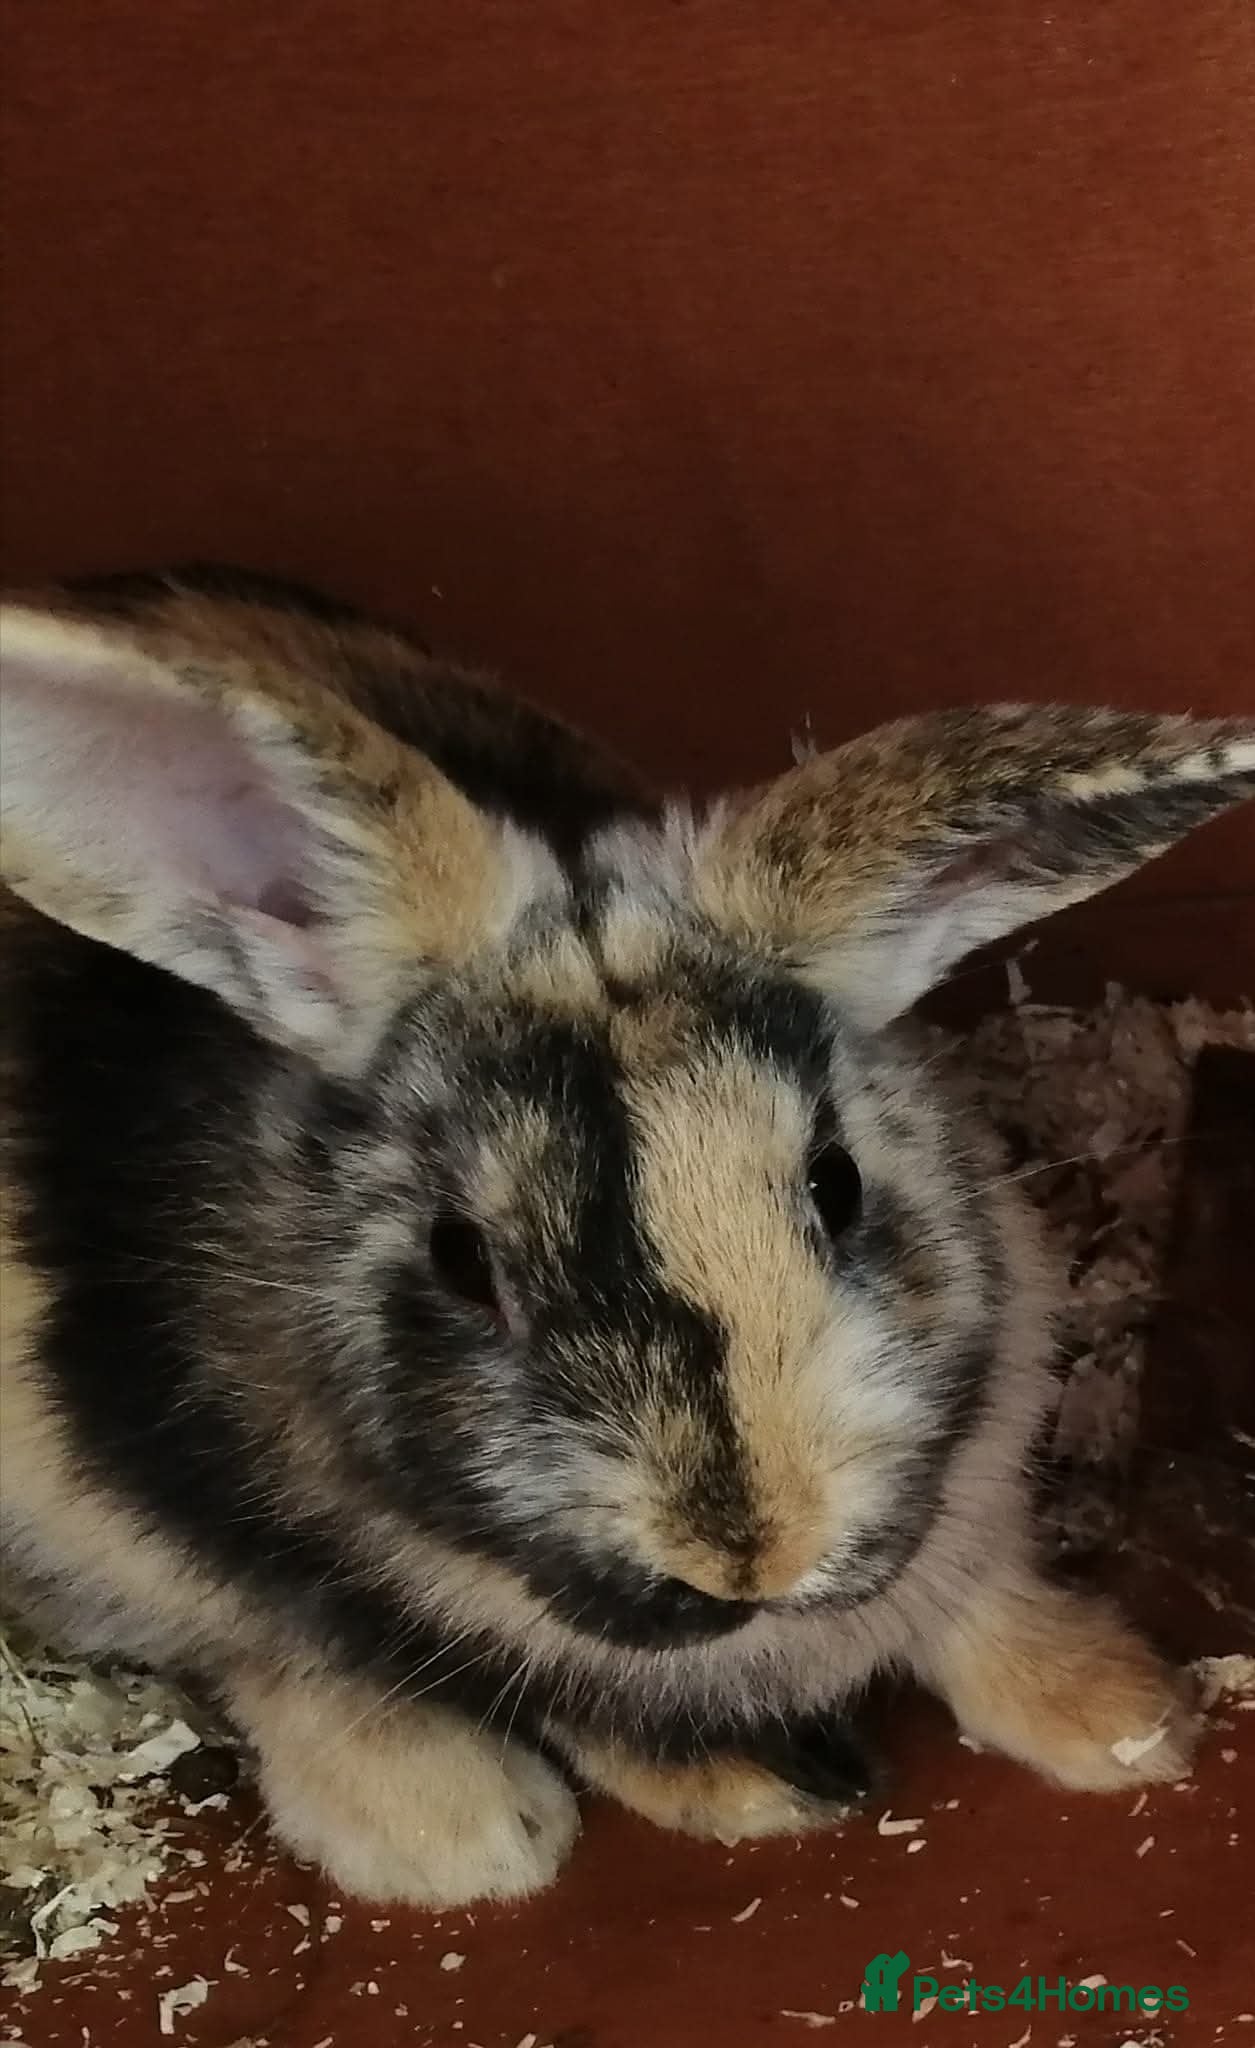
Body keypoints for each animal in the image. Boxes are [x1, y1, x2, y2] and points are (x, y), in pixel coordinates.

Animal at [2, 563, 1252, 1910]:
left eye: (835, 1181)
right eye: (461, 1259)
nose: (751, 1553)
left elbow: (983, 1599)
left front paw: (1130, 1723)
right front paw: (745, 1796)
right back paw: (465, 1829)